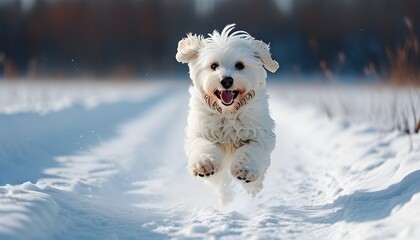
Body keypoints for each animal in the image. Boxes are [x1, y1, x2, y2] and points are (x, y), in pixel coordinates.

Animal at [176, 24, 278, 202]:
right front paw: (204, 163)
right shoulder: (201, 132)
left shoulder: (259, 135)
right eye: (213, 65)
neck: (228, 113)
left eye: (240, 65)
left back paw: (252, 188)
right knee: (220, 182)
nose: (227, 80)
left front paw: (245, 171)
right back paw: (224, 197)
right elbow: (203, 146)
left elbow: (250, 152)